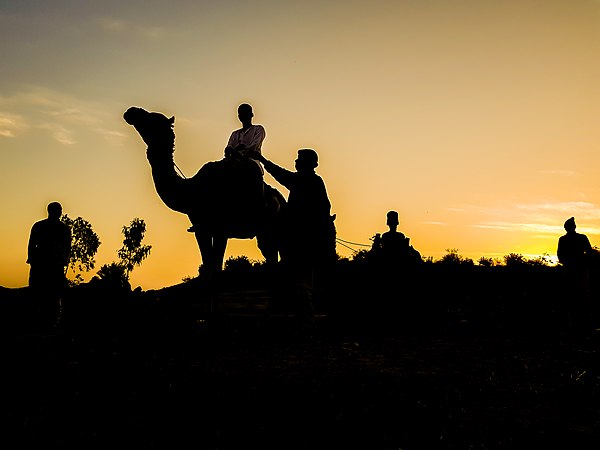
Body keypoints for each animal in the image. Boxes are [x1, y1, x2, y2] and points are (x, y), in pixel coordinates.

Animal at [122, 107, 286, 280]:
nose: (131, 111)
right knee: (271, 254)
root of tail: (281, 199)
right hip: (265, 231)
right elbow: (207, 263)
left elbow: (216, 266)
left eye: (152, 118)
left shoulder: (221, 228)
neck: (193, 191)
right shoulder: (201, 228)